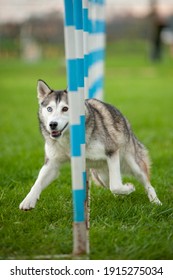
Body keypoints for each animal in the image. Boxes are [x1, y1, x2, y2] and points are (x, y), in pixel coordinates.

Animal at [19, 79, 162, 210]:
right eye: (49, 109)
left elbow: (115, 185)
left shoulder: (112, 151)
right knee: (108, 182)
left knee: (146, 183)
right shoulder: (52, 163)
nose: (52, 124)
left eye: (65, 108)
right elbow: (37, 183)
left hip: (133, 163)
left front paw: (129, 188)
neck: (67, 139)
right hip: (100, 175)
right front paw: (28, 200)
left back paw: (155, 201)